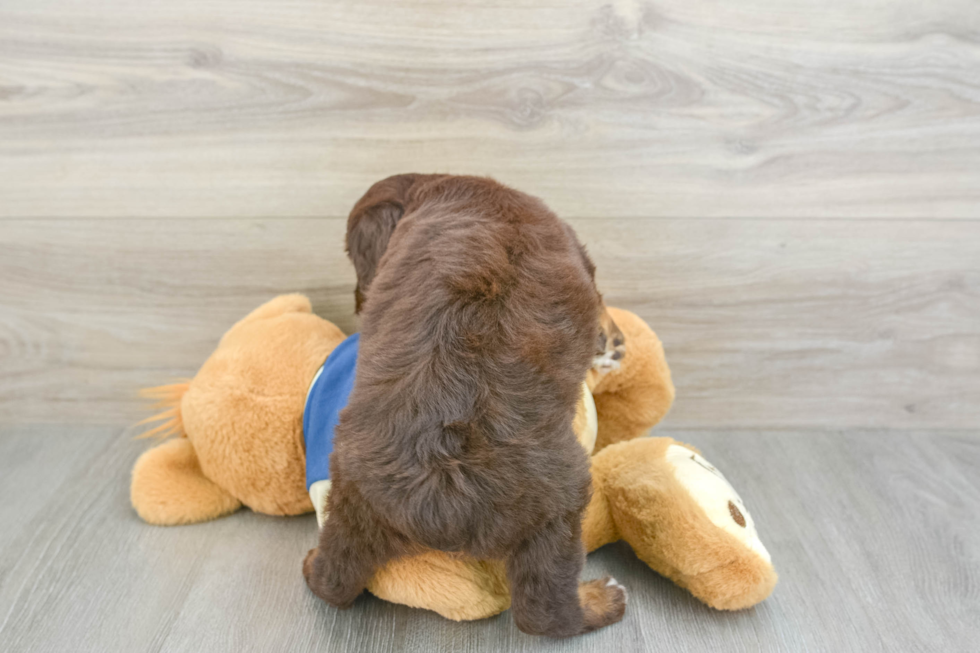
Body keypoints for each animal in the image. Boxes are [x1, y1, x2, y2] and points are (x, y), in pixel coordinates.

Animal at [306, 173, 624, 636]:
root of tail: (439, 493)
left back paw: (314, 563)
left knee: (334, 578)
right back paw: (600, 601)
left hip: (349, 498)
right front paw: (609, 337)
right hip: (559, 508)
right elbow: (599, 301)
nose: (358, 302)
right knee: (544, 610)